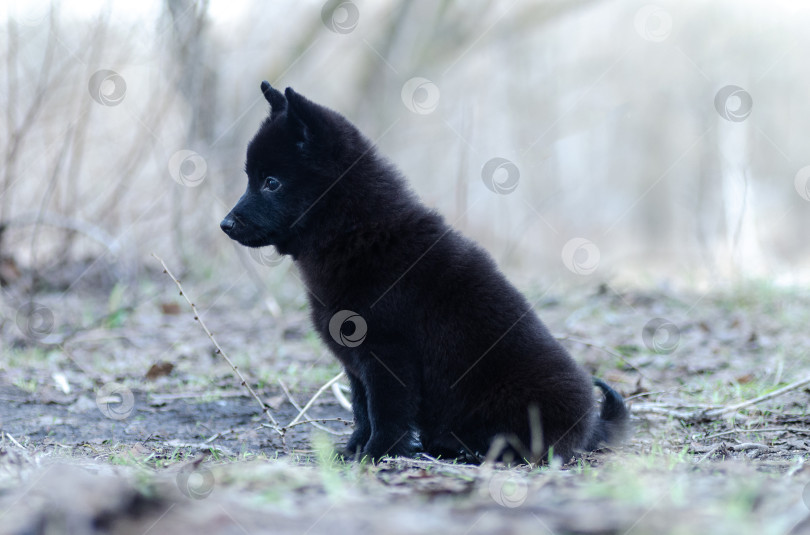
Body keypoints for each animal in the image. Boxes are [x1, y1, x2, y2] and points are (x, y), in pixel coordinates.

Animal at [223, 84, 632, 464]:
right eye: (250, 178)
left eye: (271, 182)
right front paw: (353, 451)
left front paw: (376, 454)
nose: (225, 224)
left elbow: (385, 413)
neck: (358, 233)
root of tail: (589, 426)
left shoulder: (388, 356)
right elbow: (361, 411)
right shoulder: (358, 365)